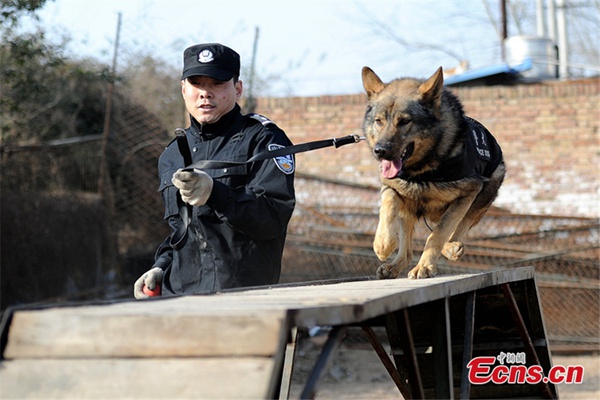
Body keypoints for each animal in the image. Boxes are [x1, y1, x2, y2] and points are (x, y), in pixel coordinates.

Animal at [360, 66, 506, 278]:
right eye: (379, 121)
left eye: (404, 121)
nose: (380, 151)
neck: (422, 171)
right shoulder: (392, 187)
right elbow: (388, 204)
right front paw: (383, 244)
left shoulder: (468, 193)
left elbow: (438, 234)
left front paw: (425, 266)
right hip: (409, 209)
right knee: (408, 250)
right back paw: (395, 265)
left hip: (482, 195)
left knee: (457, 227)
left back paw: (451, 248)